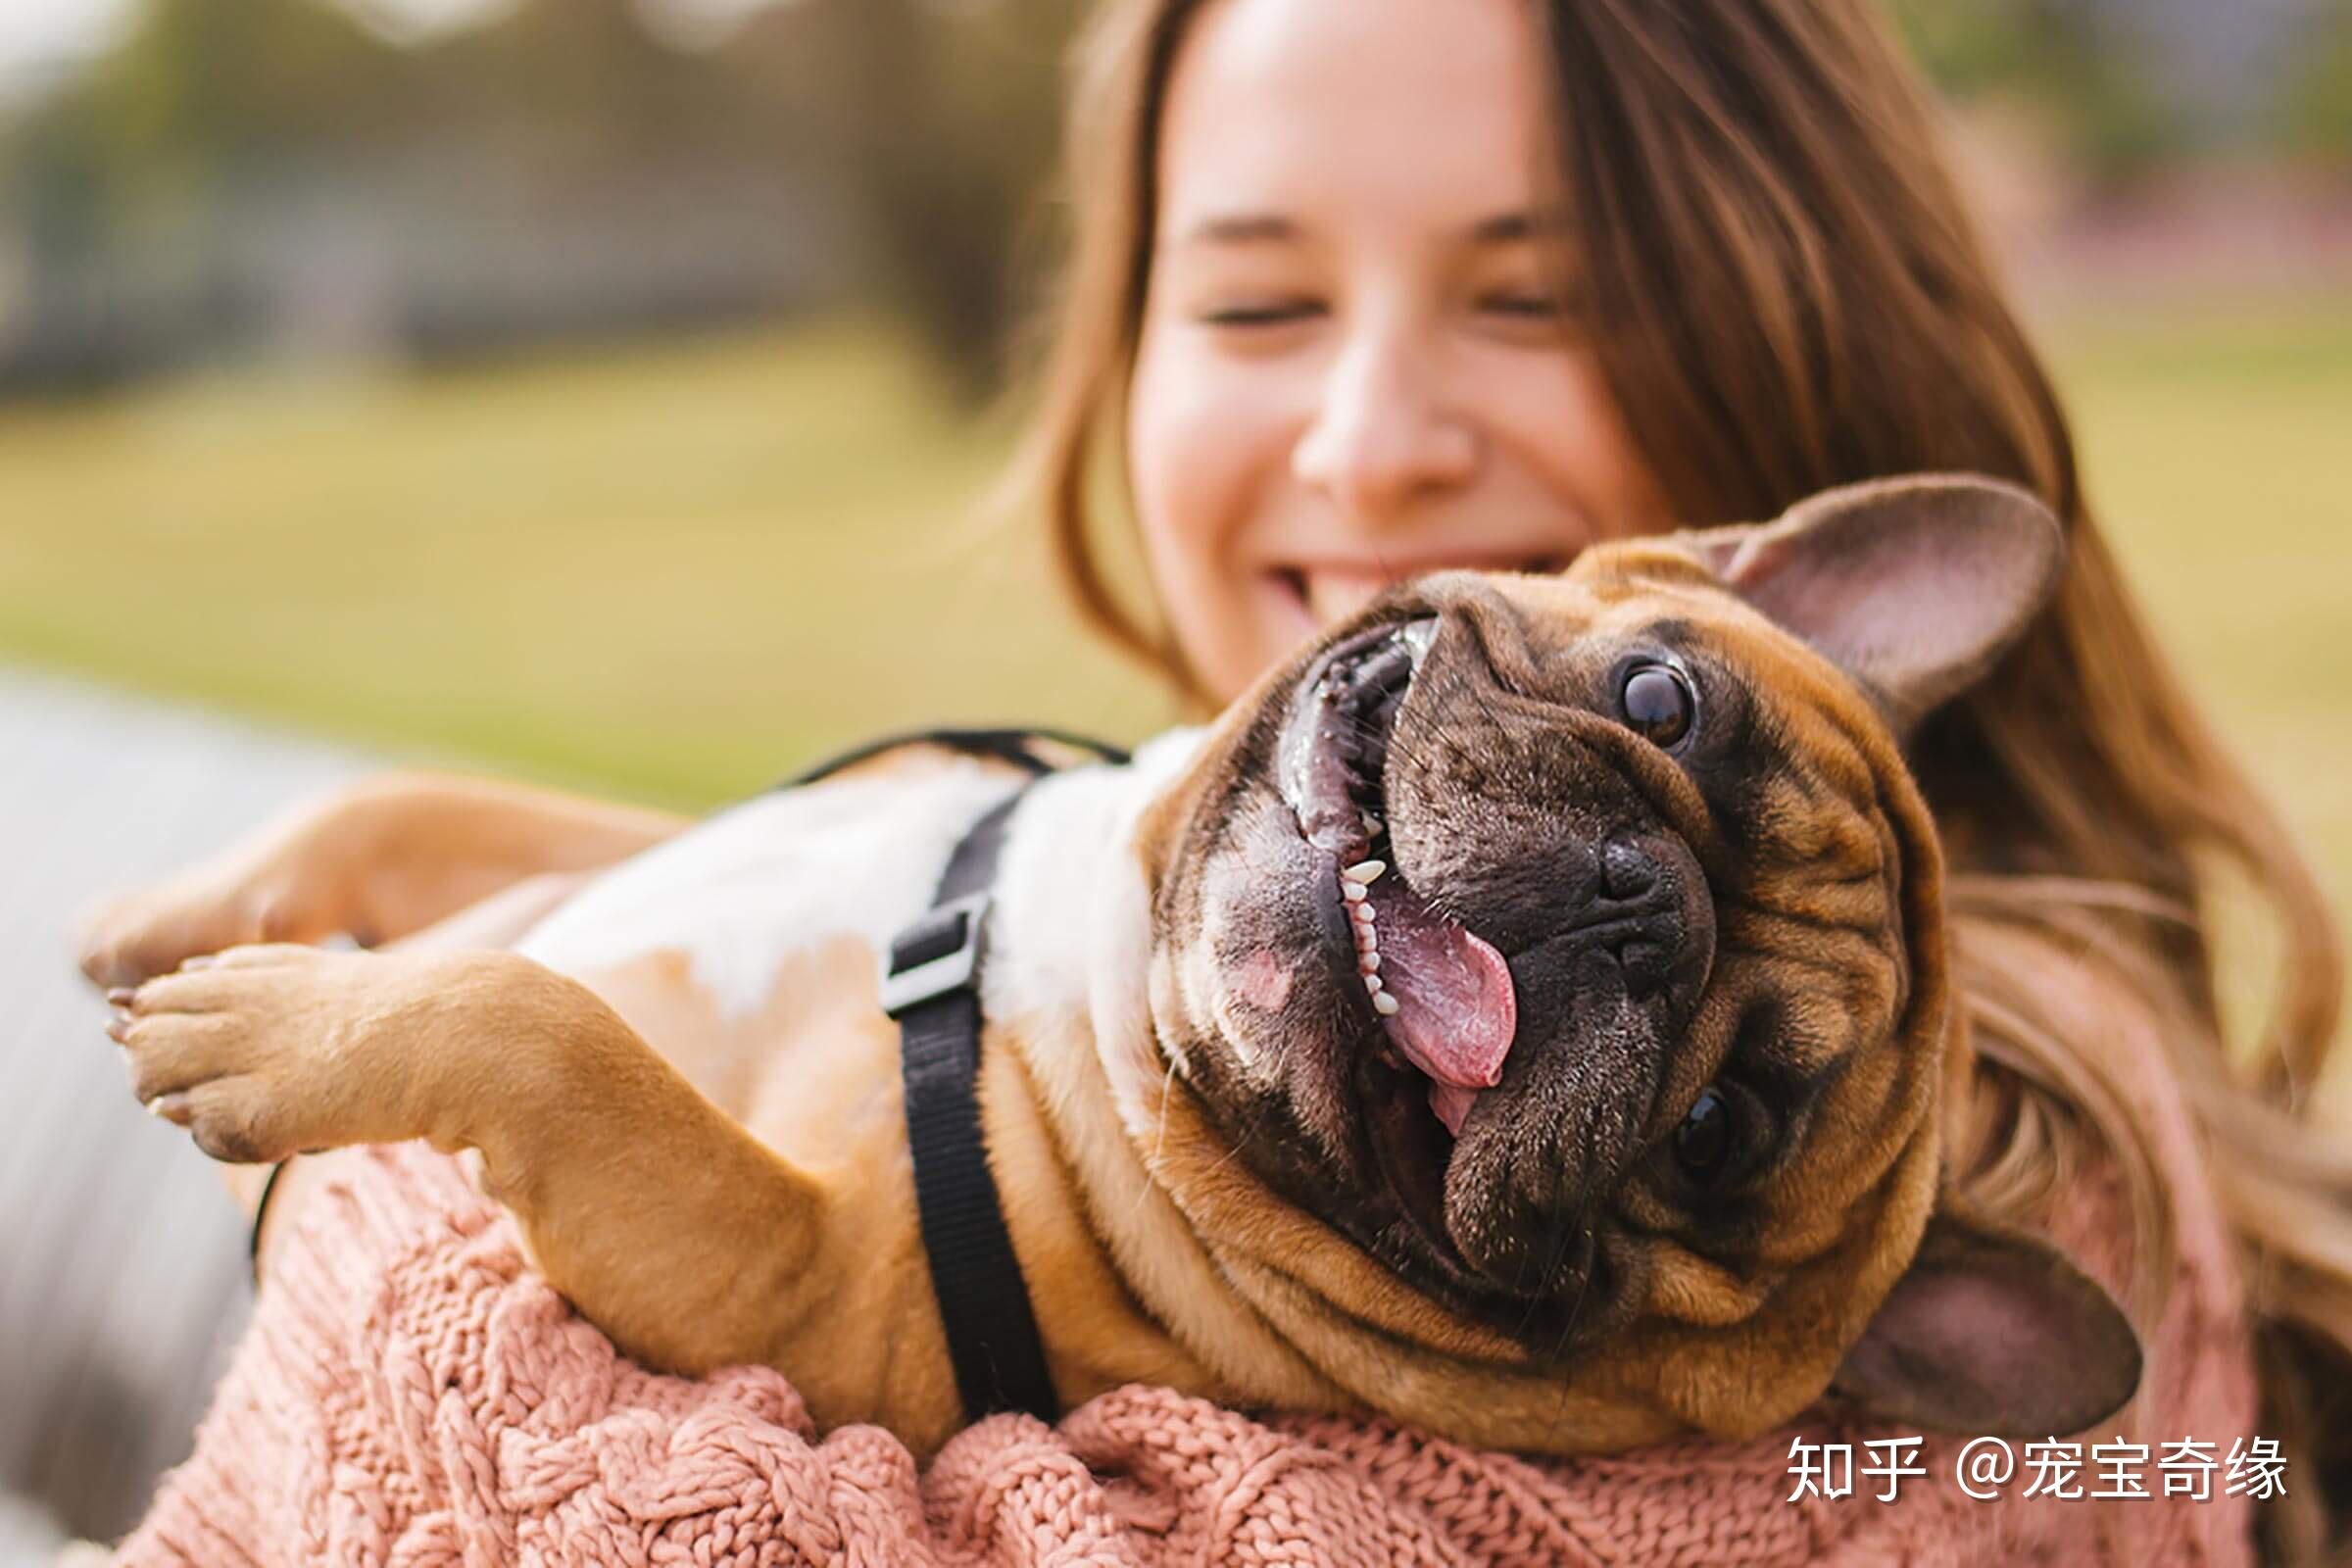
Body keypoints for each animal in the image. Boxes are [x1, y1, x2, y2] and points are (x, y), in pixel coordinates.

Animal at [77, 474, 2135, 1457]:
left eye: (1718, 1132)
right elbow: (424, 811)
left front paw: (267, 1027)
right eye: (1659, 700)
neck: (1070, 959)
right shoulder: (637, 846)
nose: (1641, 910)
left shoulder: (791, 1287)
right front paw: (190, 912)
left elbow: (551, 1029)